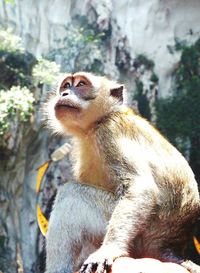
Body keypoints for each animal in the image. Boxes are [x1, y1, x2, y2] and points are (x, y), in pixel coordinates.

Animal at [44, 71, 200, 272]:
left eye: (80, 84)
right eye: (66, 86)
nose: (64, 94)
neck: (101, 120)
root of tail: (169, 247)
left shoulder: (109, 133)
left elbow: (141, 188)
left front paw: (109, 249)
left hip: (140, 235)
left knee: (71, 193)